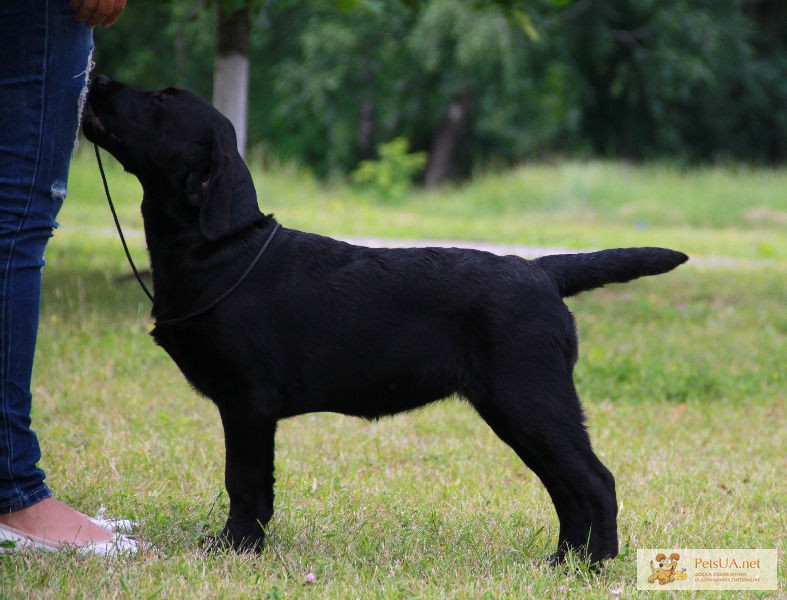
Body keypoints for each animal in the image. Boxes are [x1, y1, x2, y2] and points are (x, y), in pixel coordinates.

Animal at [83, 75, 688, 564]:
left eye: (161, 101)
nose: (100, 79)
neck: (219, 251)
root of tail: (541, 270)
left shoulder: (248, 402)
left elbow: (245, 482)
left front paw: (235, 548)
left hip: (531, 397)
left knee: (594, 480)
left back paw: (595, 565)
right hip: (516, 408)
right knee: (566, 486)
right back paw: (564, 560)